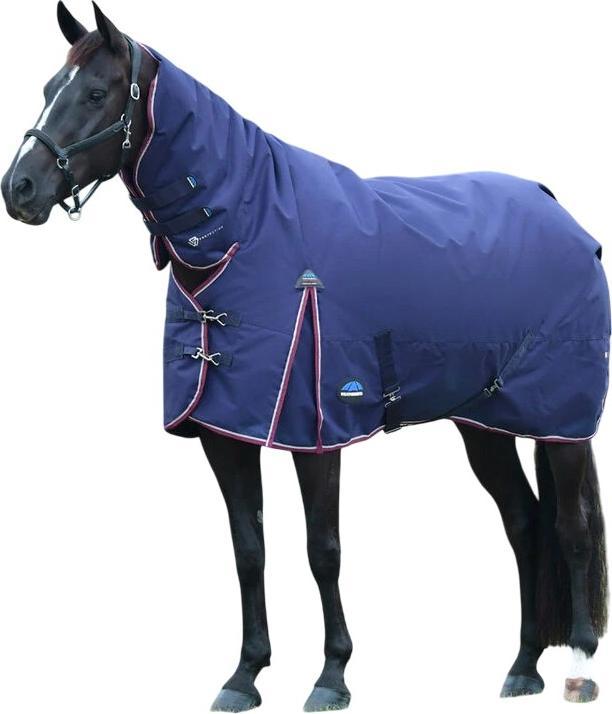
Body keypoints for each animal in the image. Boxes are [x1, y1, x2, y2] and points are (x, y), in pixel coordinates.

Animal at [1, 3, 608, 711]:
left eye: (97, 94)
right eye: (49, 89)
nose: (19, 188)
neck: (249, 232)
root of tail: (558, 211)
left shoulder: (316, 431)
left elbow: (324, 549)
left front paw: (332, 675)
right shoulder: (226, 431)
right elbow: (249, 550)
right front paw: (245, 674)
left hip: (560, 423)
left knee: (572, 527)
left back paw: (580, 664)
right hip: (484, 424)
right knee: (524, 522)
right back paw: (522, 667)